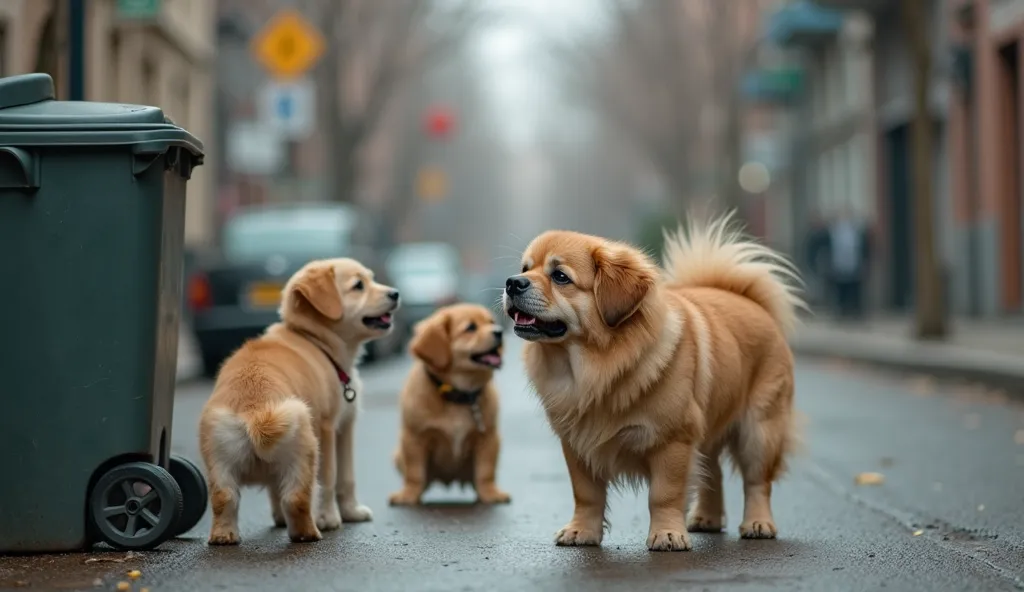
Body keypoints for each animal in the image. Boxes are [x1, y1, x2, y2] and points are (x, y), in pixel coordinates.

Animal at [195, 256, 399, 540]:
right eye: (359, 285)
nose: (396, 293)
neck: (314, 339)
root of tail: (254, 411)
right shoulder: (337, 427)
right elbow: (340, 477)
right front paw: (344, 515)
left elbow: (275, 488)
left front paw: (281, 519)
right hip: (305, 448)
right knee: (297, 498)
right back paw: (309, 531)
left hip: (219, 461)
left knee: (225, 498)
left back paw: (224, 536)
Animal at [387, 303, 512, 501]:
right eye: (471, 328)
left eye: (491, 322)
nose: (499, 332)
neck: (459, 393)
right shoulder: (413, 438)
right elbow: (414, 473)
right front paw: (409, 494)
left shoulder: (488, 439)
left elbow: (485, 472)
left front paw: (490, 493)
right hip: (399, 454)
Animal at [505, 212, 806, 548]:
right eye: (525, 269)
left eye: (559, 277)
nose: (513, 283)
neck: (595, 367)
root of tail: (752, 302)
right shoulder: (577, 445)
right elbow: (586, 495)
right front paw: (582, 531)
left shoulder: (671, 441)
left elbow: (664, 495)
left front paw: (667, 534)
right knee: (711, 472)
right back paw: (707, 519)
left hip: (759, 432)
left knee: (756, 482)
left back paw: (758, 523)